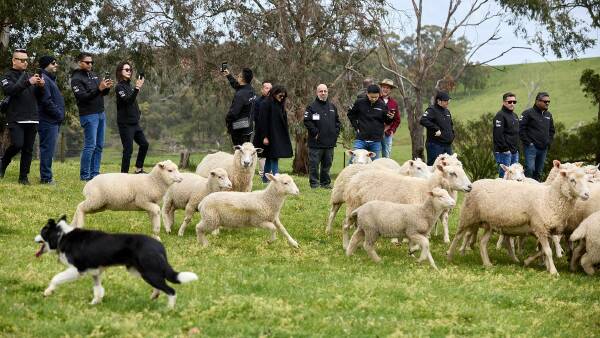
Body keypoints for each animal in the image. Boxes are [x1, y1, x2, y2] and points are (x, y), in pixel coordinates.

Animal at [34, 215, 199, 308]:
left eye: (42, 231)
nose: (34, 238)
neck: (62, 236)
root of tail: (159, 246)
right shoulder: (95, 272)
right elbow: (98, 290)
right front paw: (94, 304)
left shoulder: (77, 270)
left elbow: (56, 278)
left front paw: (48, 291)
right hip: (142, 271)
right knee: (160, 287)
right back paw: (154, 297)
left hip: (148, 272)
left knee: (171, 290)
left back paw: (169, 309)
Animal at [342, 164, 474, 248]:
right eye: (453, 173)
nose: (470, 187)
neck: (425, 189)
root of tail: (355, 177)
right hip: (353, 205)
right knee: (345, 226)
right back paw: (345, 245)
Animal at [446, 166, 592, 274]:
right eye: (572, 180)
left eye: (587, 180)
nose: (587, 194)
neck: (549, 198)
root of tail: (474, 183)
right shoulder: (540, 227)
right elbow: (548, 251)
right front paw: (553, 271)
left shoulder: (547, 230)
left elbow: (543, 251)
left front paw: (534, 263)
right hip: (468, 215)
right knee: (458, 236)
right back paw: (449, 256)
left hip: (489, 223)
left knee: (482, 243)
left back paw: (487, 264)